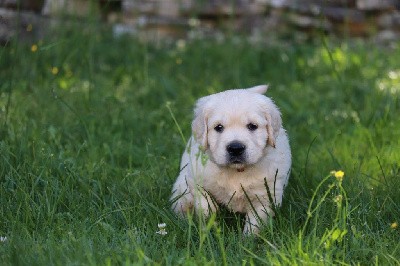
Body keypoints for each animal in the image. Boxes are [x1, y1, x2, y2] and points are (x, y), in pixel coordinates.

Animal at [170, 85, 292, 235]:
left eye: (252, 126)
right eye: (218, 127)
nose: (235, 148)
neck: (237, 171)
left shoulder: (266, 194)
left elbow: (255, 221)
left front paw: (248, 238)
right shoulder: (197, 180)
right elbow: (206, 204)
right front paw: (210, 227)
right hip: (182, 187)